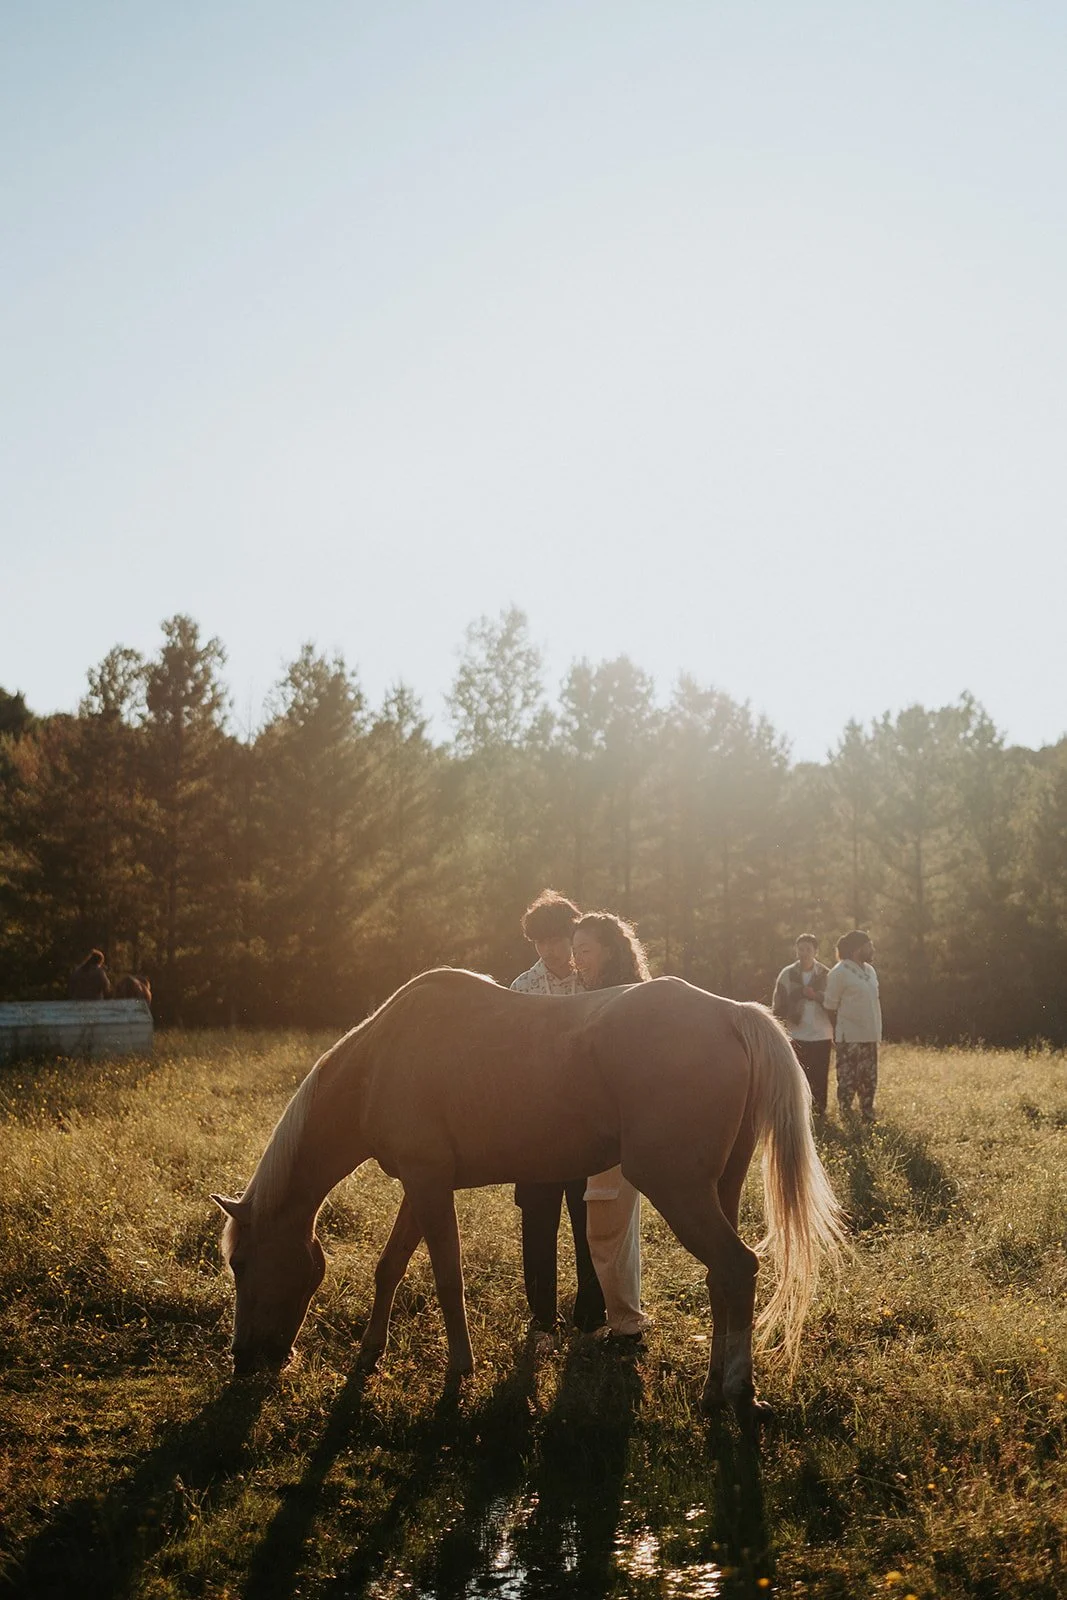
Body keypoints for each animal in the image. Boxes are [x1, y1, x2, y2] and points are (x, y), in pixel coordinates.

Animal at [213, 969, 846, 1422]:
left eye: (240, 1262)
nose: (243, 1361)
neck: (378, 1062)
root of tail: (731, 1015)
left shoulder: (429, 1185)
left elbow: (446, 1277)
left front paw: (459, 1371)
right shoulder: (420, 1185)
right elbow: (389, 1265)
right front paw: (370, 1353)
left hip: (678, 1189)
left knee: (737, 1268)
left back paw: (737, 1394)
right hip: (719, 1187)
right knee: (724, 1278)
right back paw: (717, 1390)